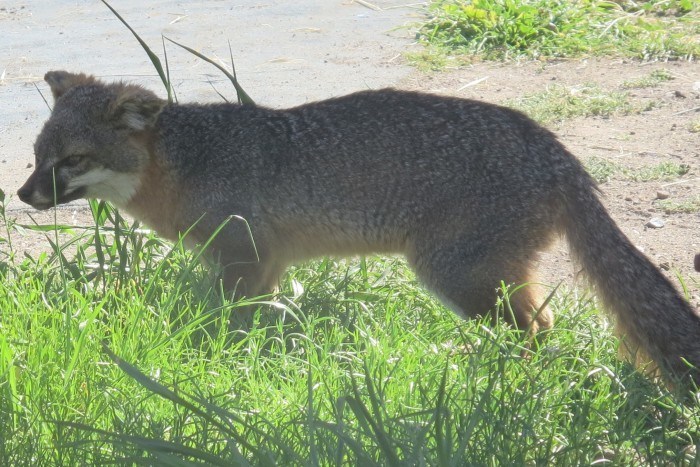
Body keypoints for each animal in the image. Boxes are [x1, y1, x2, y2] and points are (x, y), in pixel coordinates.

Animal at [19, 71, 700, 388]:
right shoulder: (267, 267)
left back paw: (498, 377)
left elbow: (228, 330)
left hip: (455, 273)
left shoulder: (242, 262)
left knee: (535, 327)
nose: (22, 195)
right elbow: (260, 327)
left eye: (72, 161)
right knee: (543, 322)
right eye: (35, 156)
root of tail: (557, 150)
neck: (189, 164)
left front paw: (221, 365)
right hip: (488, 277)